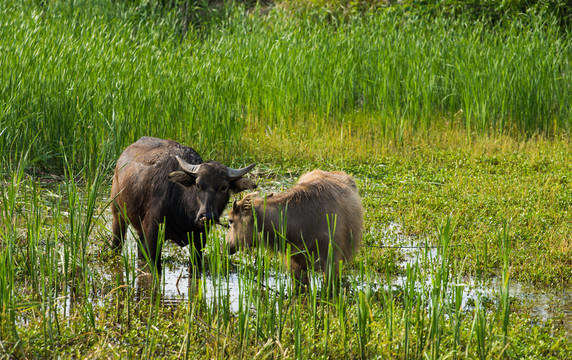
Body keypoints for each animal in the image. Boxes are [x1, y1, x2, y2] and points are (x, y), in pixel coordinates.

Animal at [110, 136, 256, 272]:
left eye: (224, 187)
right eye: (198, 184)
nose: (207, 215)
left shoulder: (199, 240)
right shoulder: (152, 235)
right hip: (118, 216)